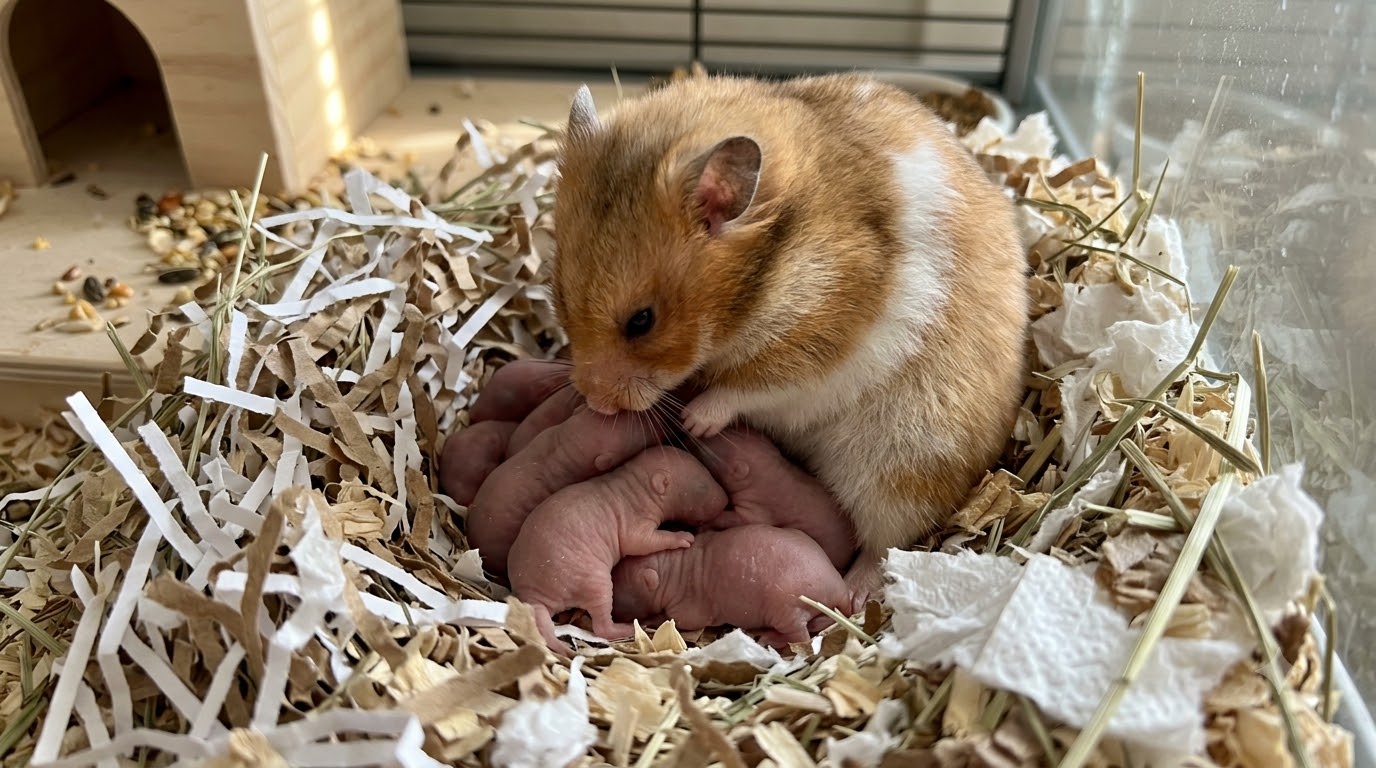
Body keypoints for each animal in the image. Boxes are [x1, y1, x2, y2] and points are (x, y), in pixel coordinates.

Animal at [549, 73, 1029, 603]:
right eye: (561, 293)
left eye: (642, 320)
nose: (595, 403)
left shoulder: (818, 338)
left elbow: (749, 388)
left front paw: (696, 420)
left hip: (903, 465)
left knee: (886, 543)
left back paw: (854, 593)